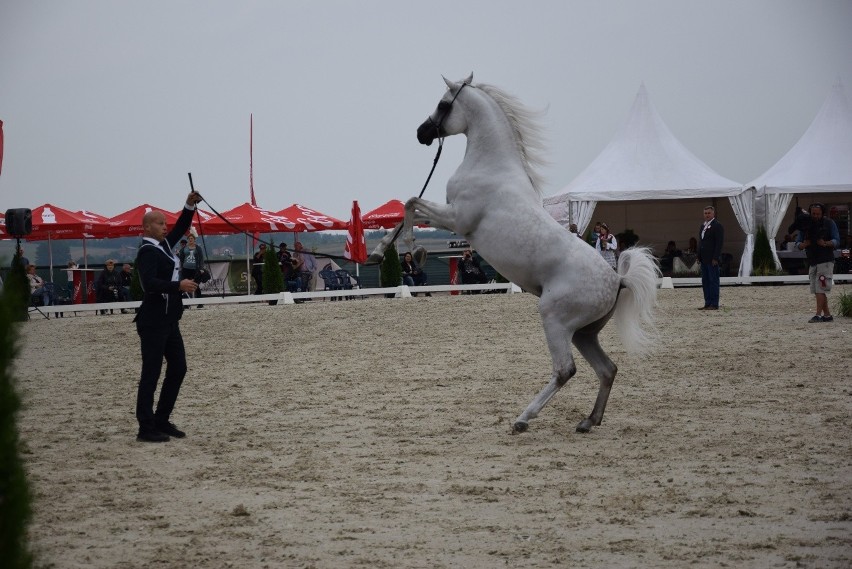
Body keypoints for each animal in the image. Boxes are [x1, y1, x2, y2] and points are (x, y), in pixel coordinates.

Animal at [372, 73, 660, 432]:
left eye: (442, 103)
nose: (422, 133)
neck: (491, 166)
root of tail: (617, 280)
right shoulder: (451, 216)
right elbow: (408, 207)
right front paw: (381, 251)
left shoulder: (457, 218)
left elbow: (411, 203)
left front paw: (413, 250)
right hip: (583, 334)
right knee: (607, 369)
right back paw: (588, 421)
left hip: (555, 320)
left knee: (565, 370)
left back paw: (523, 419)